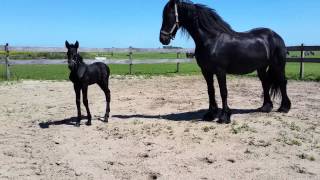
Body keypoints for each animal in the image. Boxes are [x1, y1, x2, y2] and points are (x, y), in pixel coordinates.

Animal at [159, 0, 292, 124]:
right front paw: (210, 114)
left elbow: (223, 92)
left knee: (282, 82)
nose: (163, 39)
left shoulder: (220, 71)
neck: (211, 40)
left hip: (278, 65)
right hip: (261, 68)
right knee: (265, 83)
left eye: (169, 15)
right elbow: (210, 91)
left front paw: (224, 116)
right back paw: (266, 107)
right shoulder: (206, 71)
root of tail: (276, 36)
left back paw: (284, 108)